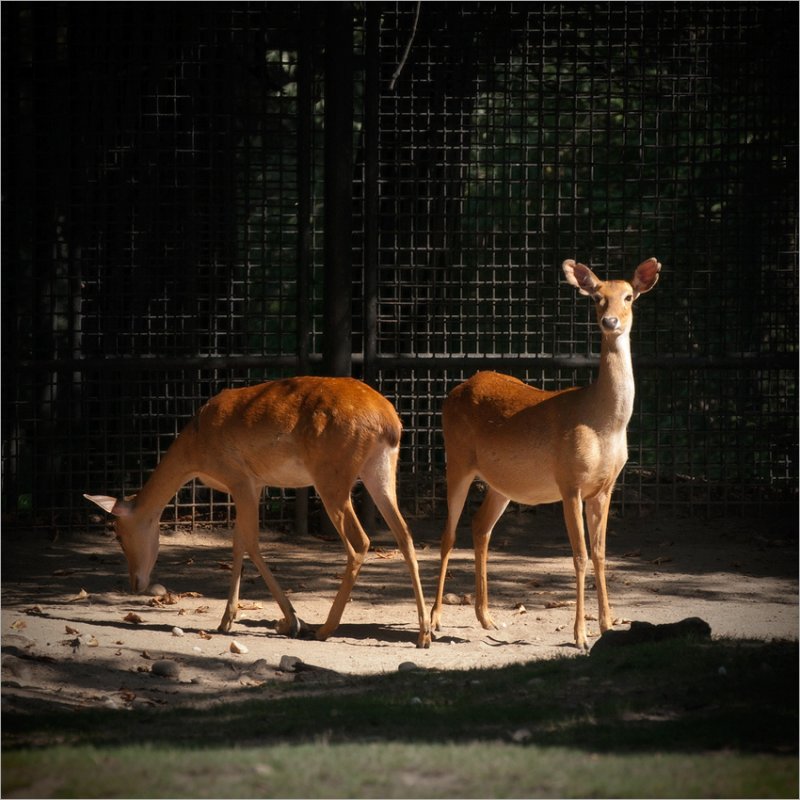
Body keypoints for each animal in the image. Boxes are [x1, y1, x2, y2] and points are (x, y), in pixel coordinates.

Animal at [86, 376, 432, 648]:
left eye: (118, 533)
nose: (135, 584)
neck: (196, 448)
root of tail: (389, 422)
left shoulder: (239, 478)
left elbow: (249, 541)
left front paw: (292, 621)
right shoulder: (255, 484)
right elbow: (238, 541)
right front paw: (227, 620)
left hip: (332, 476)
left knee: (360, 541)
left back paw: (324, 629)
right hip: (381, 469)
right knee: (404, 535)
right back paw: (424, 634)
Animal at [432, 256, 664, 648]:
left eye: (629, 296)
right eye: (597, 297)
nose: (610, 322)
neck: (603, 423)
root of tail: (453, 392)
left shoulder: (605, 488)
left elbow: (601, 553)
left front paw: (607, 625)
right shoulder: (569, 481)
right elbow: (580, 555)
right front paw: (581, 635)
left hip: (502, 483)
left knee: (480, 526)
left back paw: (487, 618)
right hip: (457, 457)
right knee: (447, 533)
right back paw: (433, 621)